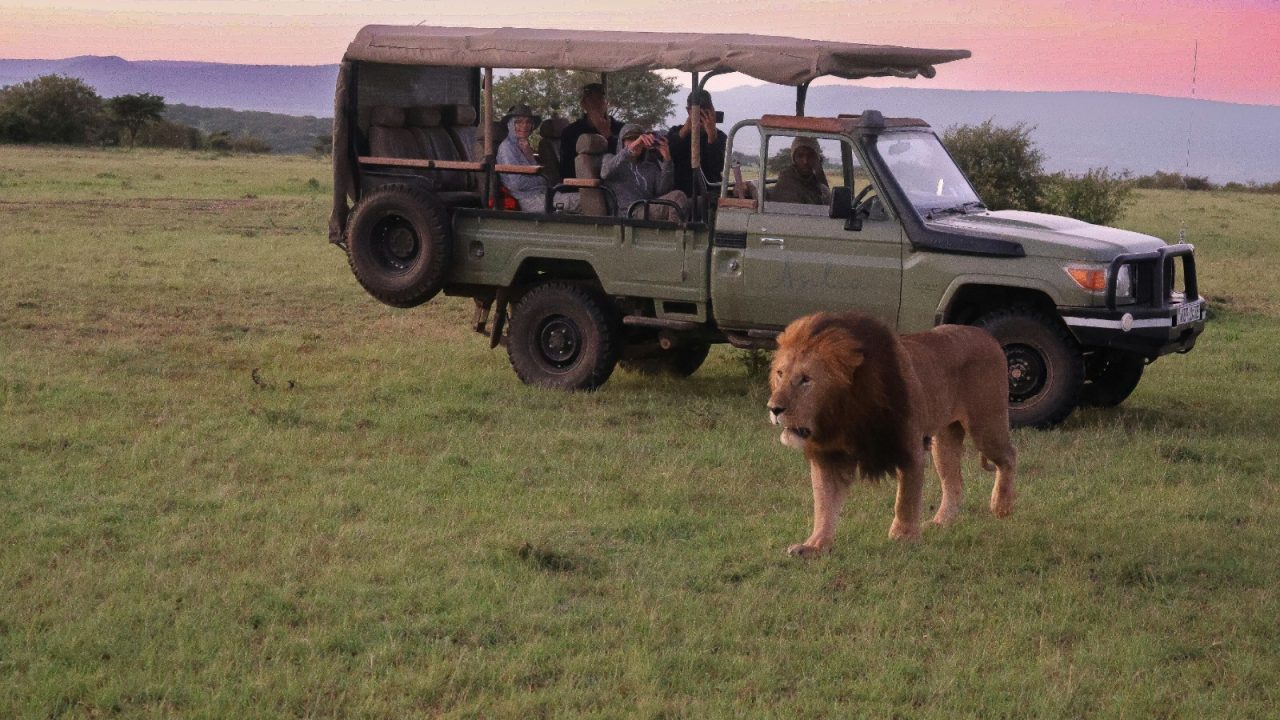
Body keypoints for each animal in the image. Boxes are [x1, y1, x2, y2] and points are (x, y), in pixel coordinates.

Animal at [767, 312, 1016, 554]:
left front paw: (903, 537)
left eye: (806, 379)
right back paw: (941, 522)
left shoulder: (910, 447)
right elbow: (825, 503)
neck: (843, 414)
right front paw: (815, 545)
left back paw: (1001, 505)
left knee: (1010, 455)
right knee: (954, 482)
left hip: (985, 425)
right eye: (780, 374)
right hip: (945, 440)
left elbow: (906, 498)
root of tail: (985, 335)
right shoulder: (830, 455)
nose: (773, 408)